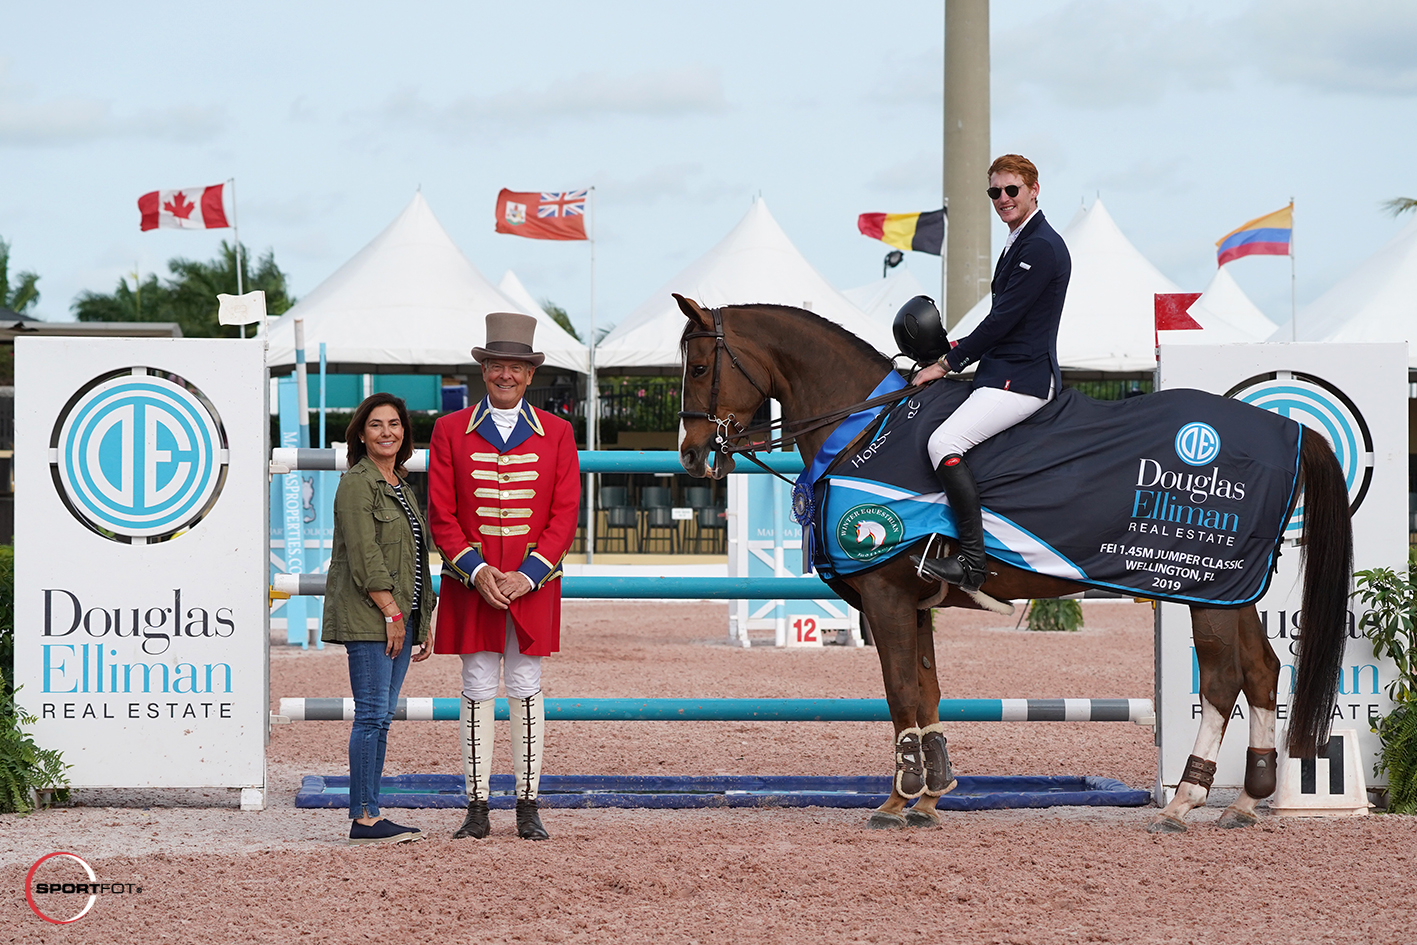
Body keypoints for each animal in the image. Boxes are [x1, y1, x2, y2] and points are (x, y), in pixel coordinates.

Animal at [674, 293, 1348, 827]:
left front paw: (898, 798)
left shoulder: (886, 596)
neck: (866, 428)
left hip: (1202, 589)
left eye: (701, 366)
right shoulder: (915, 601)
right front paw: (932, 793)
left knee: (1223, 679)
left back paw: (1185, 801)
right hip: (1232, 588)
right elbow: (927, 688)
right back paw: (1246, 801)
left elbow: (899, 689)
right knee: (1262, 671)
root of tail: (1284, 430)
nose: (691, 454)